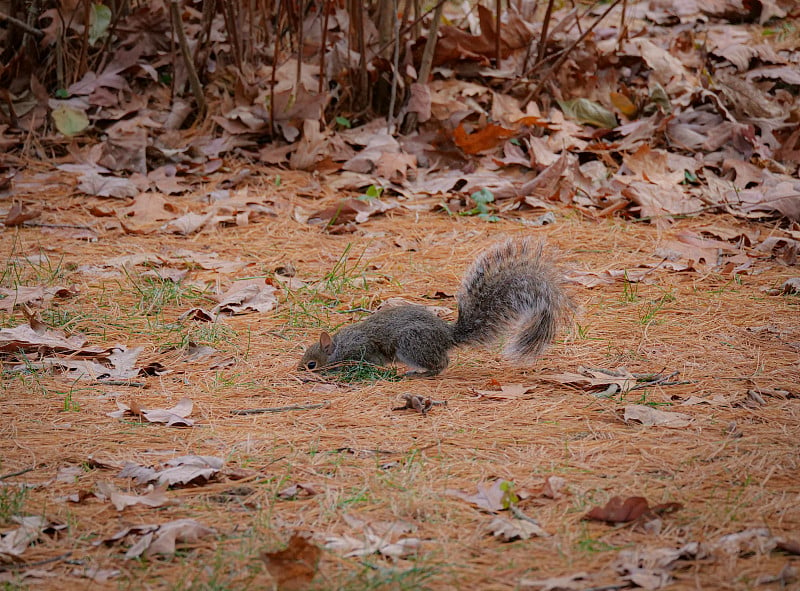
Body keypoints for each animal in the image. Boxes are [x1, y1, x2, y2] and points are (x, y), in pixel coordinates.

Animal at [298, 238, 568, 376]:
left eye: (311, 364)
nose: (299, 372)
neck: (339, 346)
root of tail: (447, 336)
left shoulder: (362, 347)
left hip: (411, 343)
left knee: (441, 364)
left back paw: (419, 373)